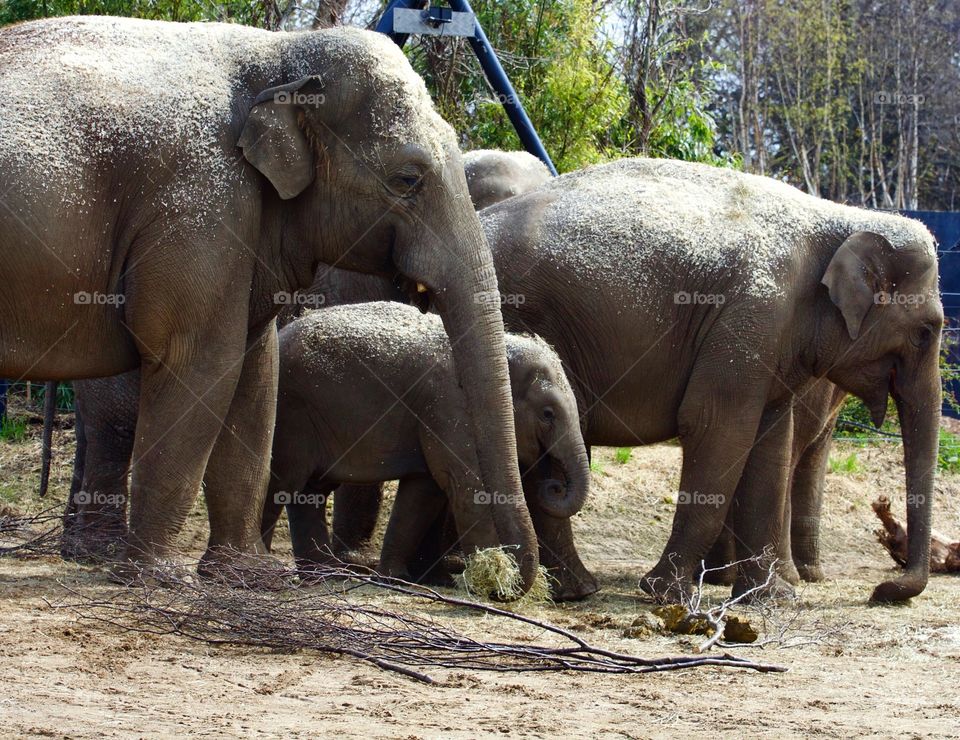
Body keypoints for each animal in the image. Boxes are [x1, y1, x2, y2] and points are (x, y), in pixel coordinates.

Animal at [0, 15, 532, 584]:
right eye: (407, 180)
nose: (505, 580)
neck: (277, 52)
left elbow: (256, 373)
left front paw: (249, 575)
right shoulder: (202, 204)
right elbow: (200, 360)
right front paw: (163, 577)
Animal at [258, 302, 588, 584]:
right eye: (547, 414)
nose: (554, 486)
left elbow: (423, 490)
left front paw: (396, 579)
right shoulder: (447, 407)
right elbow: (466, 486)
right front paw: (491, 583)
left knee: (309, 490)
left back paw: (325, 575)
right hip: (291, 412)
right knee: (282, 481)